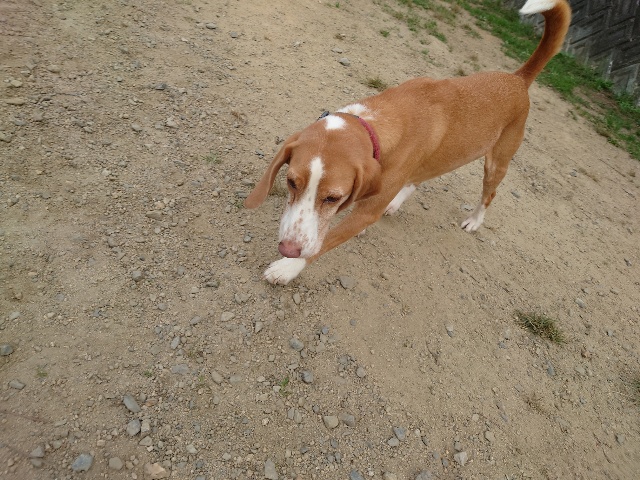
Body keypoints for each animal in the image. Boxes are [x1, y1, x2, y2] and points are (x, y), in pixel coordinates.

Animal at [245, 0, 571, 285]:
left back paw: (475, 220)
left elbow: (326, 242)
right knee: (418, 179)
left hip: (496, 164)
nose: (287, 249)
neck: (373, 125)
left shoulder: (364, 212)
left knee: (488, 195)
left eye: (332, 198)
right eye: (291, 182)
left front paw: (287, 268)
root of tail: (518, 79)